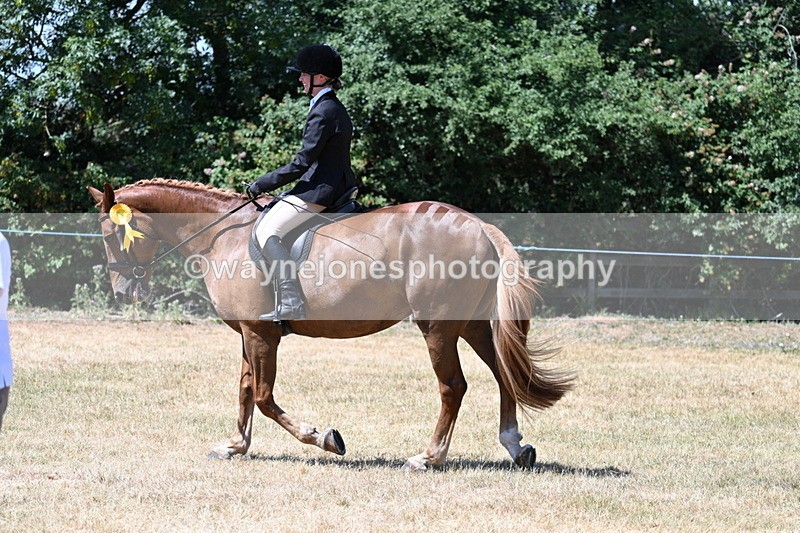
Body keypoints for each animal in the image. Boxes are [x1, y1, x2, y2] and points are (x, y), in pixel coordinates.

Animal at [88, 179, 574, 471]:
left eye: (111, 234)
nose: (121, 290)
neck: (219, 237)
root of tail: (478, 226)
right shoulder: (248, 333)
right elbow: (245, 390)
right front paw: (234, 445)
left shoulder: (261, 333)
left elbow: (263, 396)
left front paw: (324, 437)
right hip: (470, 323)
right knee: (504, 374)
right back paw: (516, 446)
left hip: (438, 327)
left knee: (454, 386)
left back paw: (428, 457)